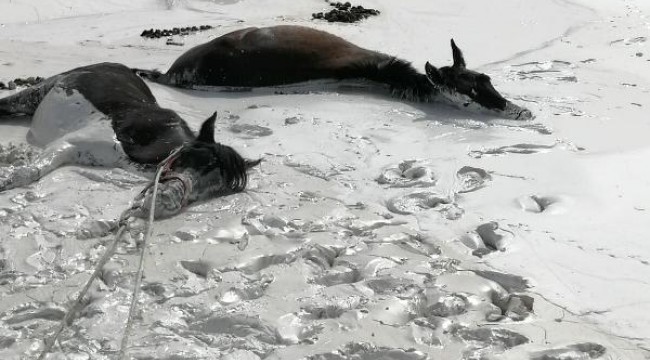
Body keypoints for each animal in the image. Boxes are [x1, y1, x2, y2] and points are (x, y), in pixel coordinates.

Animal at [0, 62, 258, 217]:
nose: (169, 200)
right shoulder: (69, 143)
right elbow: (28, 173)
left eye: (217, 189)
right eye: (195, 157)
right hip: (34, 94)